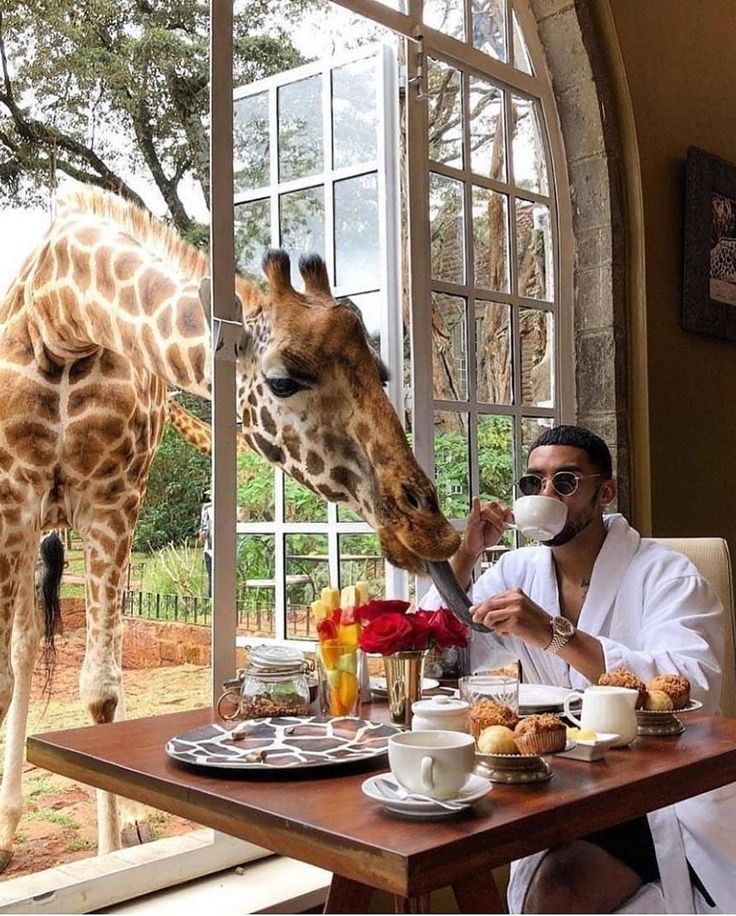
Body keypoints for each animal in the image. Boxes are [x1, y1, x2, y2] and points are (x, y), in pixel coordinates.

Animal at [0, 187, 460, 867]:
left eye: (381, 371)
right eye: (283, 380)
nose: (433, 531)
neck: (63, 325)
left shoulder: (115, 502)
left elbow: (101, 688)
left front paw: (115, 849)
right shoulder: (12, 497)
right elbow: (10, 679)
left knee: (36, 641)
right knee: (23, 646)